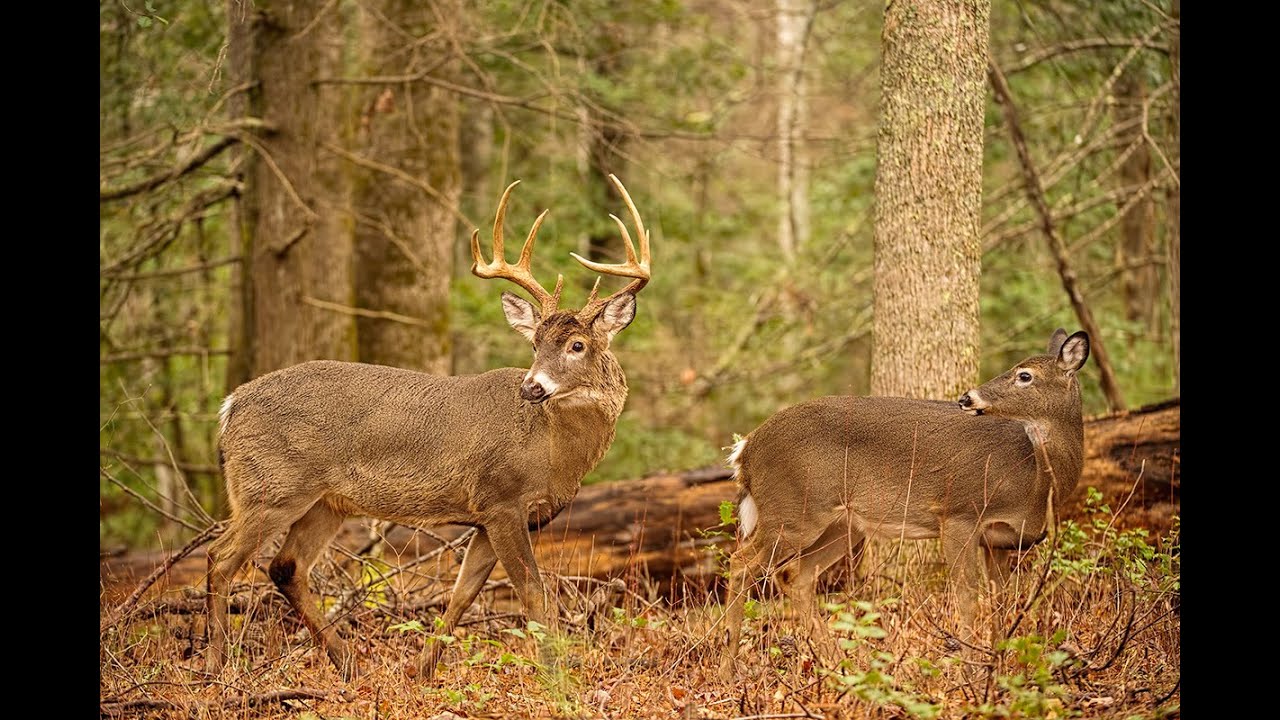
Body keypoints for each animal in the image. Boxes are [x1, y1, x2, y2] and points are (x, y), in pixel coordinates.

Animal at [204, 174, 653, 681]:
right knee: (220, 558)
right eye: (535, 344)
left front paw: (420, 671)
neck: (554, 449)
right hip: (271, 486)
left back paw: (348, 665)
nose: (531, 387)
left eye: (577, 344)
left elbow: (461, 594)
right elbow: (532, 592)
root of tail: (231, 405)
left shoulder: (487, 516)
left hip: (325, 502)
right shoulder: (501, 499)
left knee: (285, 567)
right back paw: (217, 664)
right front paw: (556, 675)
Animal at [717, 329, 1090, 680]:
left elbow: (1001, 600)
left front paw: (997, 669)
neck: (1035, 481)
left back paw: (841, 666)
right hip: (793, 512)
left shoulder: (1000, 541)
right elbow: (968, 595)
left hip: (842, 524)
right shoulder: (959, 513)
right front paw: (970, 671)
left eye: (1025, 375)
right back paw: (729, 664)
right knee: (740, 562)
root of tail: (746, 448)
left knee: (795, 574)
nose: (967, 397)